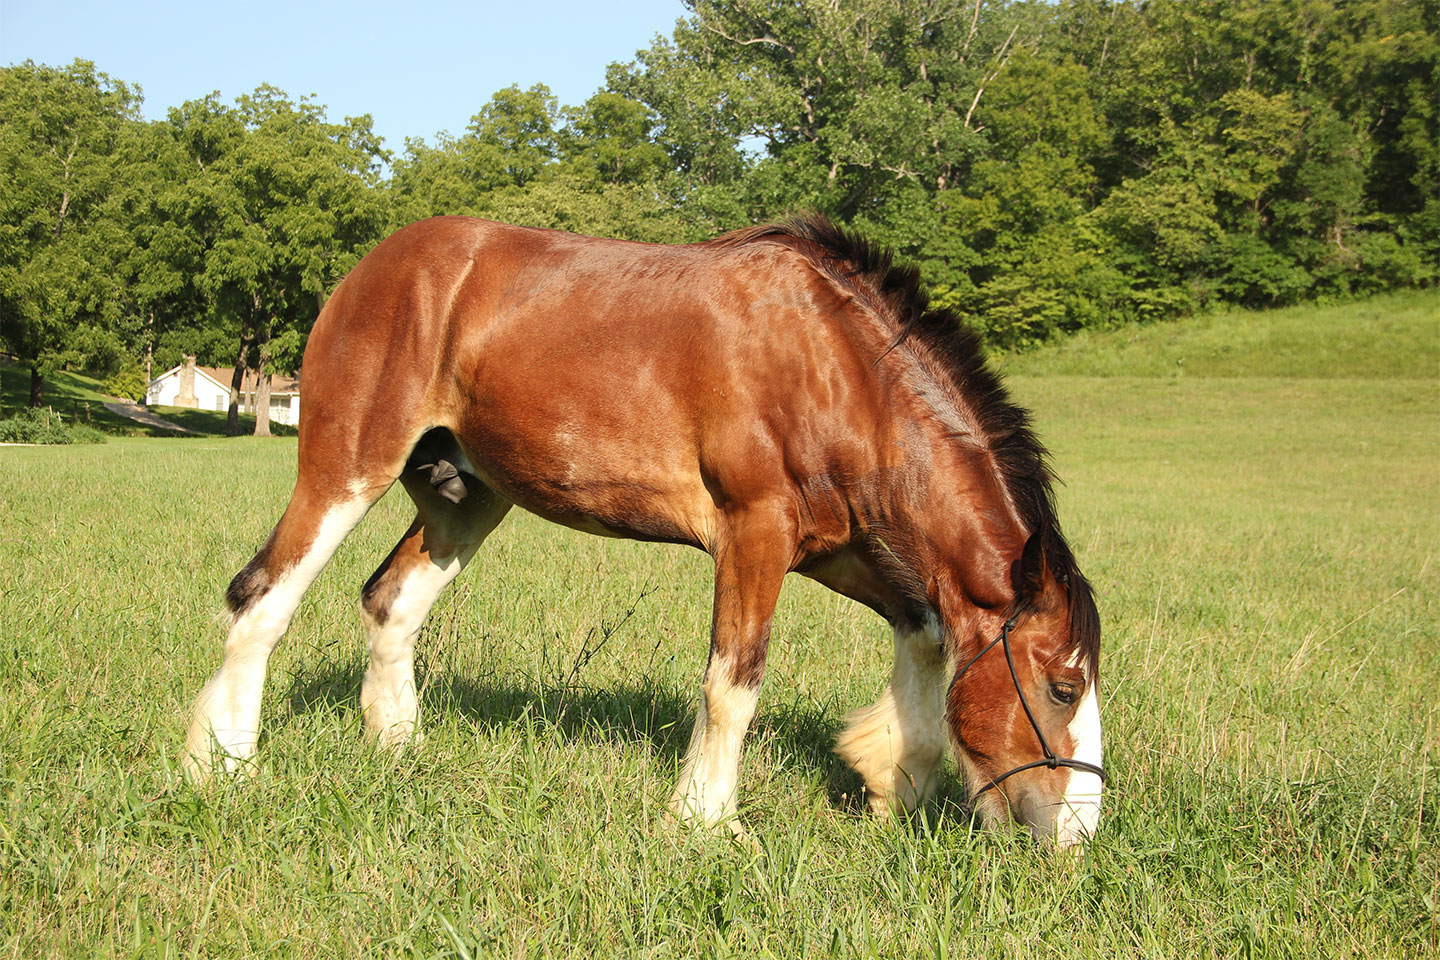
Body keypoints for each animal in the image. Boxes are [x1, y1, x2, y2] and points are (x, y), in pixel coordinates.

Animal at [184, 214, 1105, 847]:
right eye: (1062, 688)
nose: (1081, 836)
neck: (836, 366)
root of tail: (373, 266)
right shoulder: (755, 535)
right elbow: (734, 683)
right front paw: (706, 821)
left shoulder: (838, 550)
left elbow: (925, 631)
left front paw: (894, 784)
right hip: (347, 468)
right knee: (262, 599)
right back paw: (223, 764)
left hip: (462, 497)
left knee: (389, 603)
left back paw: (397, 749)